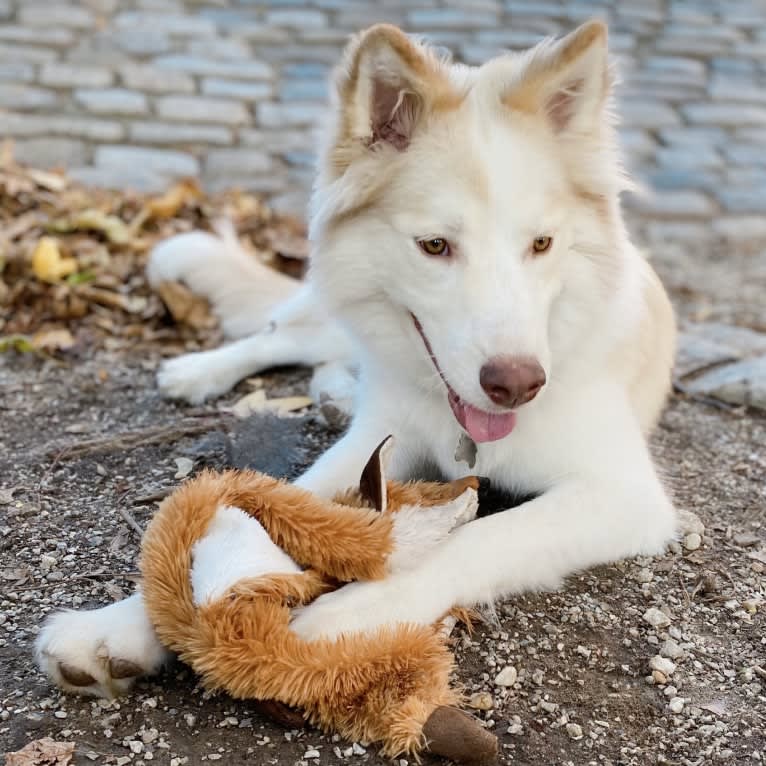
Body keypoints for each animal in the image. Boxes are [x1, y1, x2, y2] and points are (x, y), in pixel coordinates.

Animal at [36, 22, 676, 696]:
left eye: (542, 244)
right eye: (435, 246)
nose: (517, 385)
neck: (460, 429)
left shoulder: (622, 495)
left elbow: (478, 538)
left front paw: (355, 610)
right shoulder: (375, 441)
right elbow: (262, 508)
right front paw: (120, 623)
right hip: (336, 314)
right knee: (282, 332)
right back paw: (200, 371)